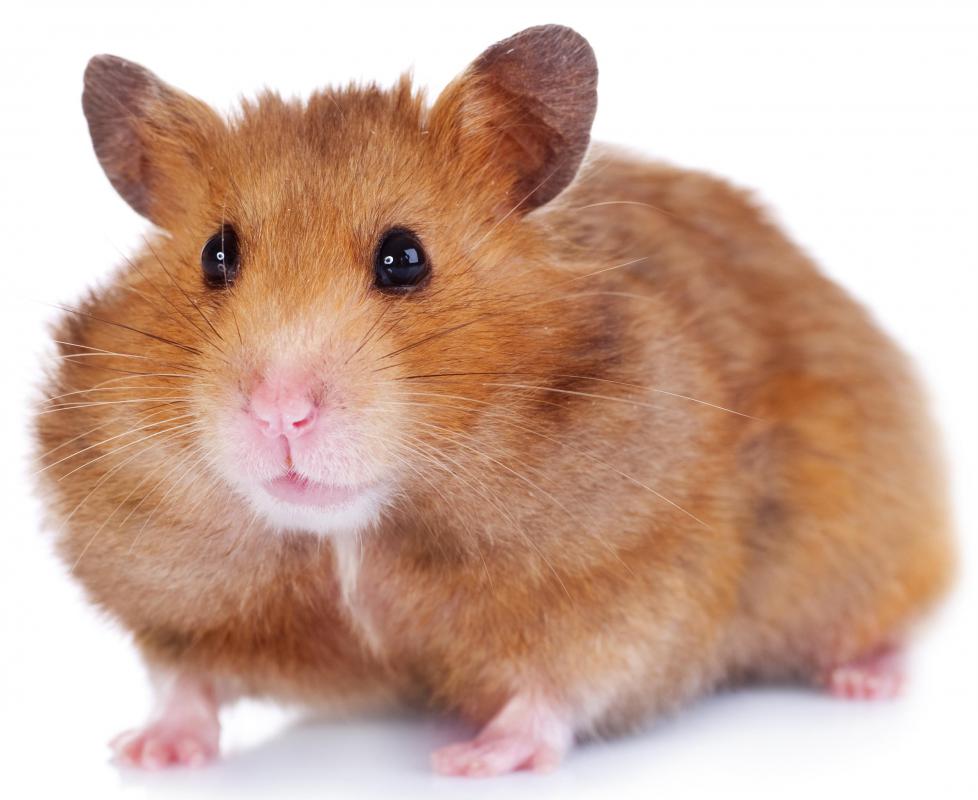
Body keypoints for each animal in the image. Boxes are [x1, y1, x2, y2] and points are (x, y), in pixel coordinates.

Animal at [34, 24, 954, 776]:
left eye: (405, 258)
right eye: (216, 256)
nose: (279, 412)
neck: (352, 533)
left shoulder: (637, 585)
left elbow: (563, 686)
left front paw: (471, 761)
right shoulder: (171, 595)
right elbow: (182, 676)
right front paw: (144, 753)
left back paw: (863, 680)